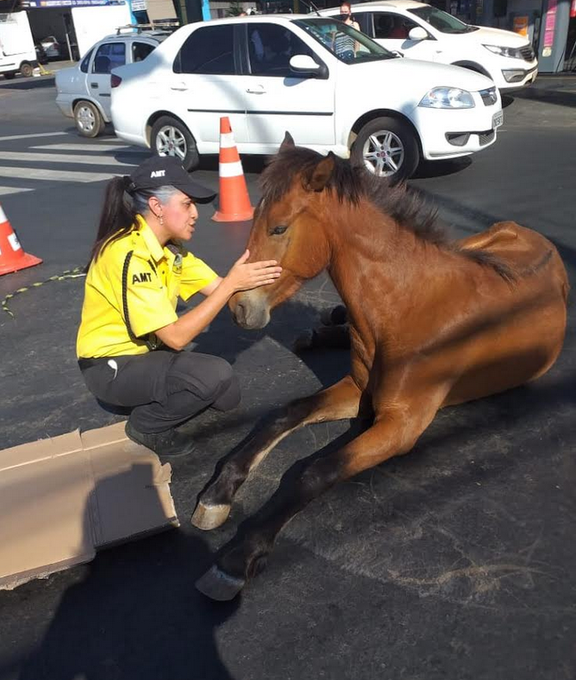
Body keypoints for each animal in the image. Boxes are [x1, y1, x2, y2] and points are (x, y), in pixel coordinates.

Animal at [192, 133, 568, 600]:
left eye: (278, 227)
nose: (240, 309)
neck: (406, 305)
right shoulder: (357, 388)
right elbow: (285, 413)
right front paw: (218, 493)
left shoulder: (401, 424)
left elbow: (314, 472)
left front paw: (237, 557)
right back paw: (322, 330)